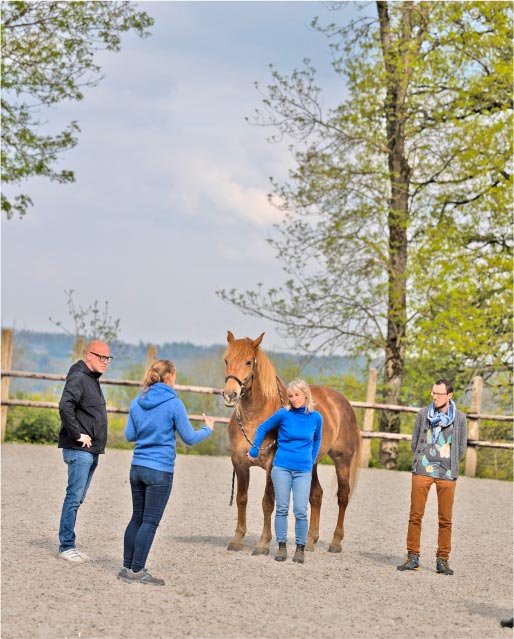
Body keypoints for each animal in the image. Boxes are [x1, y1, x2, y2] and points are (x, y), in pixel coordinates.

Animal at [221, 330, 360, 556]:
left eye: (249, 362)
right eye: (226, 360)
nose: (230, 394)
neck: (255, 419)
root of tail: (342, 401)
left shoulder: (272, 465)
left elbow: (268, 502)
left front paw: (262, 544)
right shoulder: (239, 462)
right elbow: (242, 499)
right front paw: (237, 539)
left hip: (343, 460)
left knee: (343, 496)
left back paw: (336, 542)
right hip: (311, 463)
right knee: (316, 495)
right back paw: (310, 541)